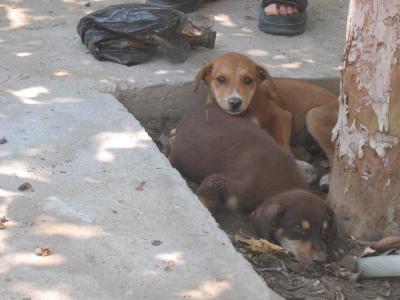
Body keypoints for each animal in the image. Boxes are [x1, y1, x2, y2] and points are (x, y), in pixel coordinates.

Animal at [169, 102, 334, 262]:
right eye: (297, 227)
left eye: (324, 231)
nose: (320, 260)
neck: (279, 184)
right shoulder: (219, 181)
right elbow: (204, 200)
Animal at [195, 51, 340, 164]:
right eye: (221, 79)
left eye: (248, 80)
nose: (235, 102)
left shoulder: (282, 116)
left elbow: (281, 144)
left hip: (314, 116)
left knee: (333, 156)